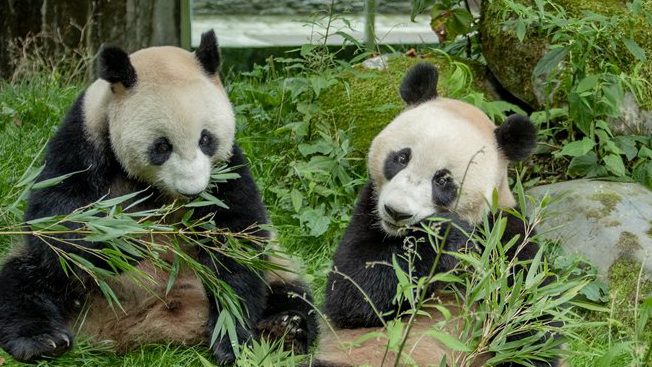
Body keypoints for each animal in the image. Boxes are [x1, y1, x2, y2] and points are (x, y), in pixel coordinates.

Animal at [0, 30, 316, 364]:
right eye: (162, 146)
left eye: (206, 139)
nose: (193, 191)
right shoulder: (83, 137)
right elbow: (56, 215)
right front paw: (123, 241)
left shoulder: (227, 168)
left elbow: (238, 240)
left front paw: (231, 340)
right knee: (25, 282)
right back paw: (42, 340)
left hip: (278, 268)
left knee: (291, 291)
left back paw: (285, 329)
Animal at [306, 64, 560, 367]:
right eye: (401, 158)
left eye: (443, 180)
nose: (396, 212)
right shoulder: (368, 210)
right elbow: (353, 291)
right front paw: (442, 236)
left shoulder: (503, 231)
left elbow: (530, 313)